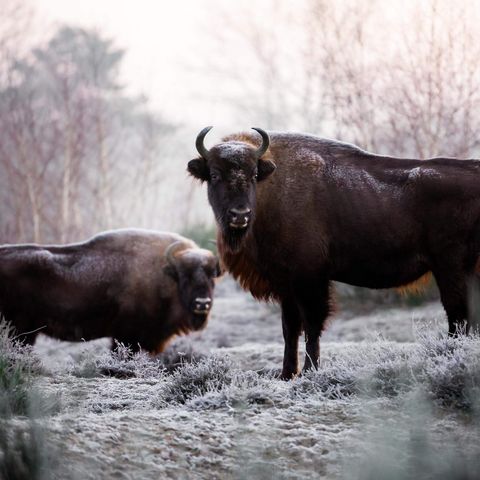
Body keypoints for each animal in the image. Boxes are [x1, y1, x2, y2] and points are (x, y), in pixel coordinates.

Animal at [0, 229, 220, 352]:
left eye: (212, 277)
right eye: (185, 276)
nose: (202, 303)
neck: (165, 273)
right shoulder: (126, 337)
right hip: (19, 330)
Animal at [188, 126, 480, 378]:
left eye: (252, 175)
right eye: (214, 175)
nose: (239, 215)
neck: (271, 187)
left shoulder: (309, 278)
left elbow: (312, 324)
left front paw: (309, 371)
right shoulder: (285, 284)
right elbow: (289, 328)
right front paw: (286, 374)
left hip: (449, 267)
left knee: (457, 312)